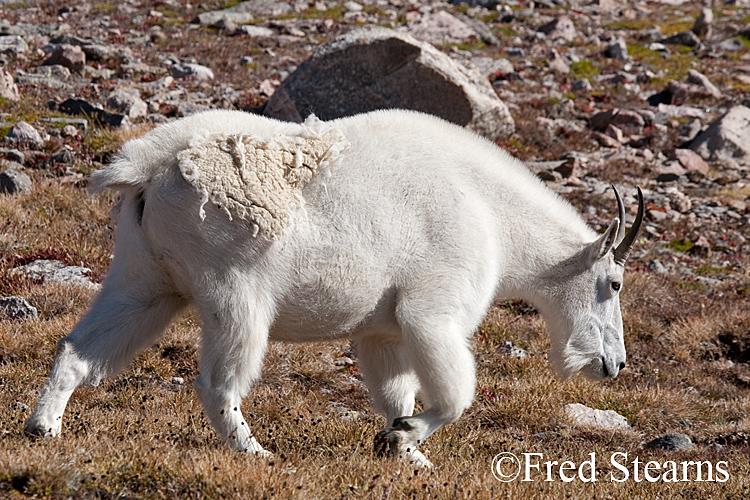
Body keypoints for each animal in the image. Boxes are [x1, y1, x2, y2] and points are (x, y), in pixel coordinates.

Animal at [25, 107, 648, 466]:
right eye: (615, 283)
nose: (614, 365)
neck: (496, 215)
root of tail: (147, 166)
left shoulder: (383, 331)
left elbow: (395, 391)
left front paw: (406, 454)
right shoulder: (433, 310)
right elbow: (453, 395)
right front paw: (404, 440)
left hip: (145, 276)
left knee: (82, 345)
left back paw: (42, 427)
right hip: (235, 286)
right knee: (219, 384)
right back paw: (258, 452)